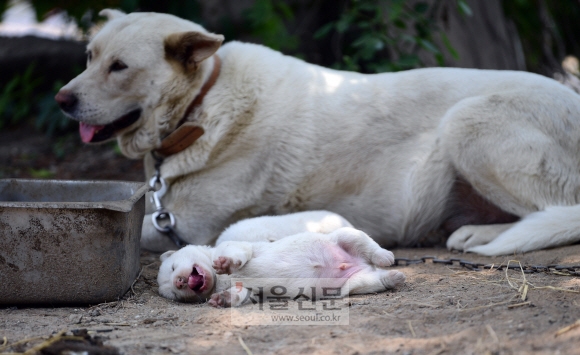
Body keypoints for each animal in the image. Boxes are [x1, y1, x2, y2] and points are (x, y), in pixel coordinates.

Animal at [56, 10, 580, 256]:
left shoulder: (187, 229)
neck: (200, 106)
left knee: (559, 213)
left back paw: (480, 234)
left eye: (119, 67)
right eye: (88, 56)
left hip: (467, 121)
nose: (62, 100)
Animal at [156, 211, 406, 306]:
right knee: (373, 281)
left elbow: (237, 254)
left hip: (345, 235)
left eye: (173, 267)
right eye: (174, 294)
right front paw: (221, 299)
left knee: (368, 245)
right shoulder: (247, 290)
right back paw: (393, 277)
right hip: (351, 284)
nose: (180, 281)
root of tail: (360, 264)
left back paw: (385, 257)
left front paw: (226, 263)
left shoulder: (240, 246)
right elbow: (239, 294)